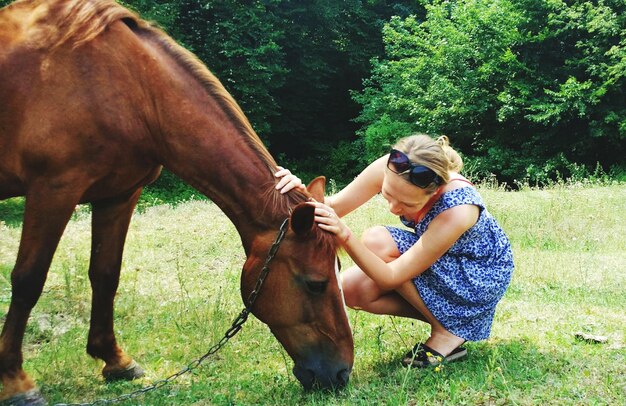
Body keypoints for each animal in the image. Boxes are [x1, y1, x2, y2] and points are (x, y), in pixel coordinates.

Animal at [0, 0, 352, 402]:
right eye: (316, 283)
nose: (341, 373)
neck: (130, 88)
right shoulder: (54, 189)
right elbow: (28, 280)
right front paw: (16, 381)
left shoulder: (118, 195)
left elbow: (105, 274)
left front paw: (116, 361)